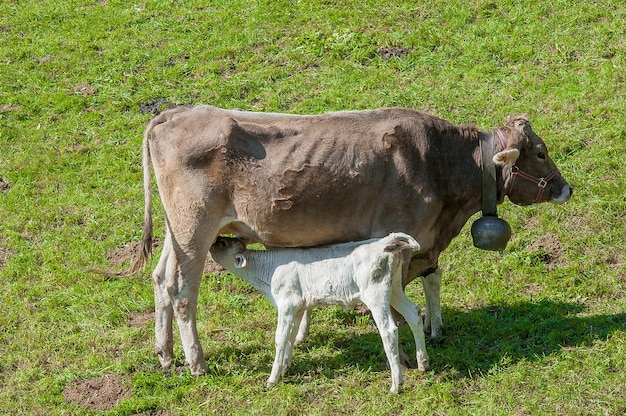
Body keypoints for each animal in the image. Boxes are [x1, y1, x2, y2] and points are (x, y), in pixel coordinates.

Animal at [129, 105, 568, 376]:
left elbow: (429, 282)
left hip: (177, 232)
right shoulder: (402, 238)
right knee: (182, 292)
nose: (566, 188)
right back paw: (197, 363)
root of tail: (178, 112)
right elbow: (396, 307)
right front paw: (407, 356)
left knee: (161, 280)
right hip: (194, 229)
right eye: (541, 152)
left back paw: (165, 356)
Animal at [210, 232, 428, 394]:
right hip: (394, 289)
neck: (266, 275)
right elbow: (291, 336)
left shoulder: (287, 304)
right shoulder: (298, 307)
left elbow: (280, 338)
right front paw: (285, 367)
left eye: (222, 243)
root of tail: (384, 242)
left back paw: (396, 385)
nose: (214, 238)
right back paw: (423, 363)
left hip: (376, 293)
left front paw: (272, 379)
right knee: (414, 313)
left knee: (389, 330)